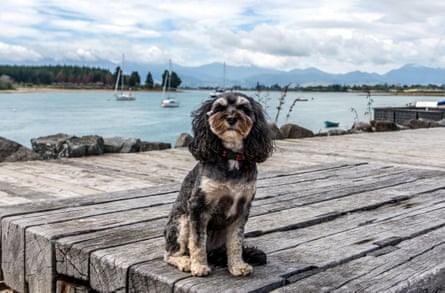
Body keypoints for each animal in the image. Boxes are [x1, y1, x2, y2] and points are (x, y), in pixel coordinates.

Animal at [164, 92, 272, 276]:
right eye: (219, 108)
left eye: (244, 108)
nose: (231, 118)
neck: (231, 156)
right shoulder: (198, 206)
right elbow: (197, 241)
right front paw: (199, 266)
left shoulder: (242, 208)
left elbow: (236, 242)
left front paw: (237, 266)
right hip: (182, 222)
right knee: (170, 253)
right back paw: (185, 261)